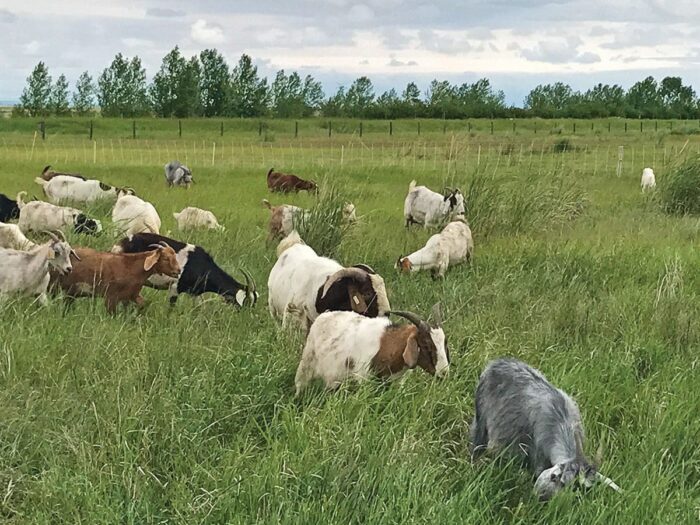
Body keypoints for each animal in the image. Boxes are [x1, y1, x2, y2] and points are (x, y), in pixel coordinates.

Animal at [112, 231, 258, 304]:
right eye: (247, 302)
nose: (246, 317)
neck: (202, 265)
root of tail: (121, 244)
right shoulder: (175, 288)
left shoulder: (195, 293)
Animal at [294, 302, 448, 392]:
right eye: (426, 345)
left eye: (444, 344)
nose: (444, 373)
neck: (387, 345)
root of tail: (324, 316)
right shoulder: (364, 379)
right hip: (306, 364)